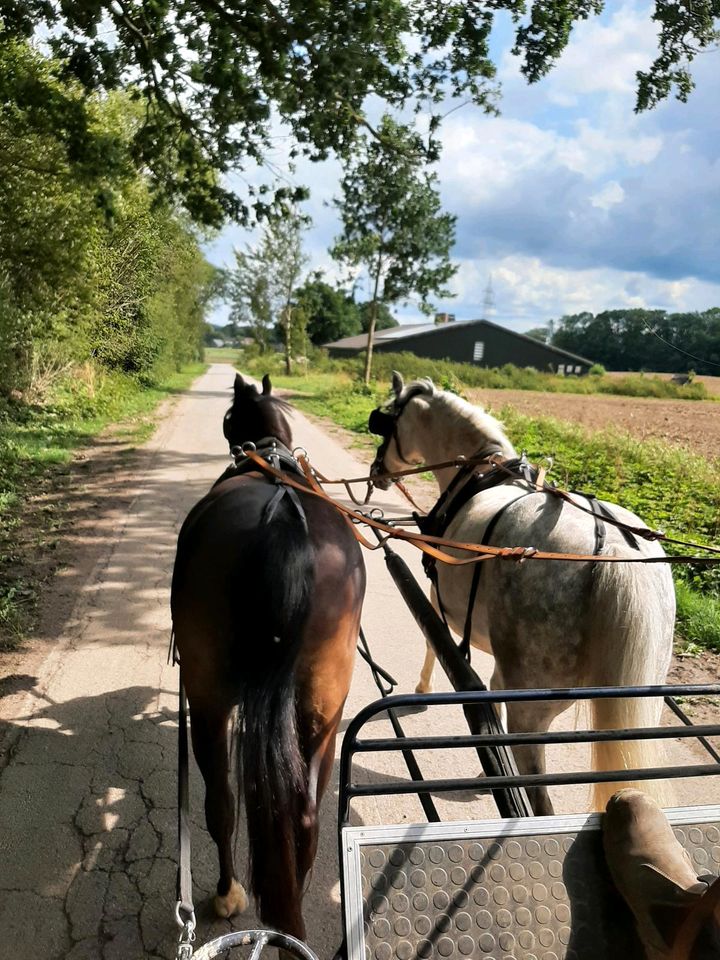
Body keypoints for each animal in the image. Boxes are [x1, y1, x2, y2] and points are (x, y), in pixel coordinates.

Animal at [170, 374, 366, 936]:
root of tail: (284, 519)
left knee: (221, 801)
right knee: (304, 817)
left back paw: (227, 894)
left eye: (229, 416)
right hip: (325, 705)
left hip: (208, 699)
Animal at [372, 372, 676, 812]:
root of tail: (614, 549)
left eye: (386, 420)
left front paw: (423, 689)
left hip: (532, 709)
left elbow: (432, 642)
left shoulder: (436, 595)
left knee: (540, 797)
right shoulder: (503, 668)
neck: (482, 473)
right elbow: (492, 691)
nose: (377, 471)